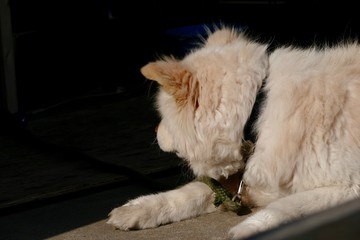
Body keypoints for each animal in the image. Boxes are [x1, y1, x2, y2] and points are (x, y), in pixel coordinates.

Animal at [108, 27, 360, 239]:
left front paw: (244, 232)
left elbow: (284, 208)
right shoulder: (251, 182)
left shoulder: (349, 188)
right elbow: (193, 191)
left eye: (163, 117)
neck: (257, 111)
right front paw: (139, 208)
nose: (154, 130)